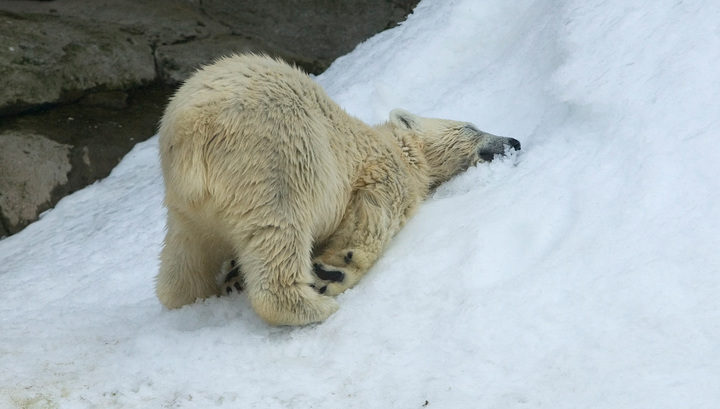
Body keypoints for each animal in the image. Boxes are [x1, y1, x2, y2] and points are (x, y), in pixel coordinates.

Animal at [155, 53, 520, 326]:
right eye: (471, 126)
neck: (395, 145)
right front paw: (330, 271)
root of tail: (190, 129)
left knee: (186, 254)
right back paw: (313, 308)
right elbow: (370, 218)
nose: (514, 141)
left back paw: (193, 294)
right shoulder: (382, 171)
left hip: (187, 203)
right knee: (279, 231)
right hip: (275, 159)